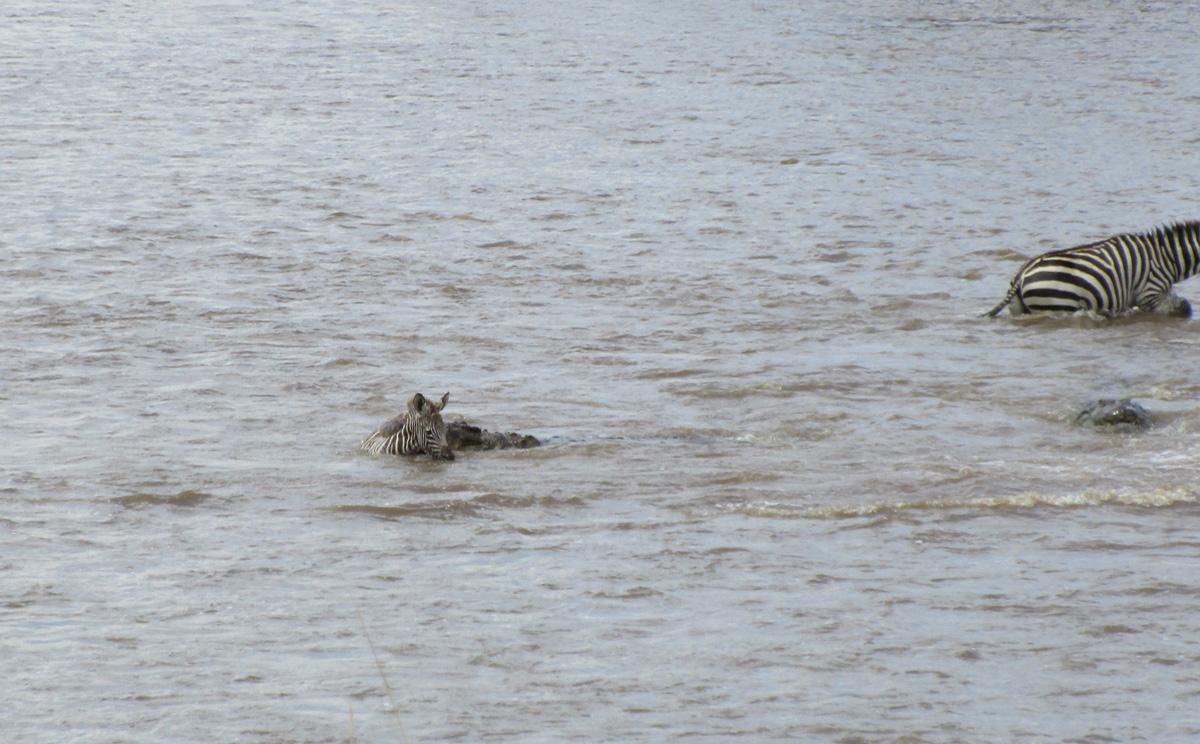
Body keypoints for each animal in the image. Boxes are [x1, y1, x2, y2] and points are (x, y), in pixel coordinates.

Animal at [986, 221, 1200, 318]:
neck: (1167, 257)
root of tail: (1021, 276)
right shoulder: (1150, 292)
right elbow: (1182, 308)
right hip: (1058, 305)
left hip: (1019, 308)